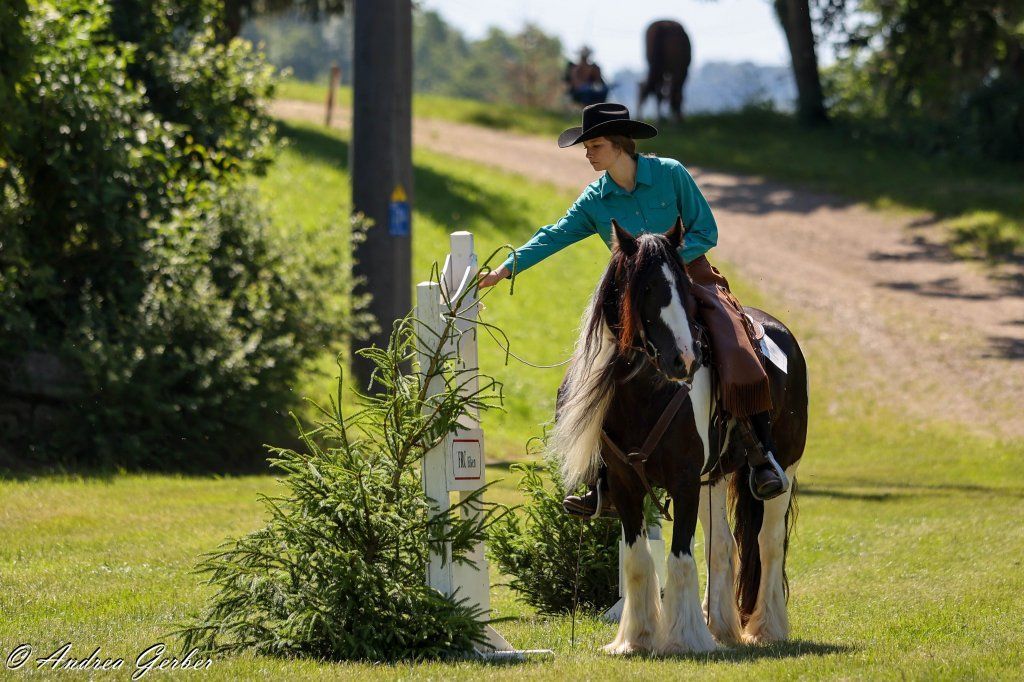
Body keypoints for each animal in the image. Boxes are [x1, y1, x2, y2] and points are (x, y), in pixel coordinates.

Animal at [551, 218, 808, 654]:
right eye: (645, 288)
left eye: (684, 287)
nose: (684, 359)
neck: (647, 393)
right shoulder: (625, 484)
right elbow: (639, 559)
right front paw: (635, 639)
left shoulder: (684, 481)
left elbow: (680, 557)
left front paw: (686, 638)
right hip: (714, 478)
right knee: (725, 546)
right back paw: (720, 627)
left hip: (784, 467)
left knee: (768, 543)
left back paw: (766, 628)